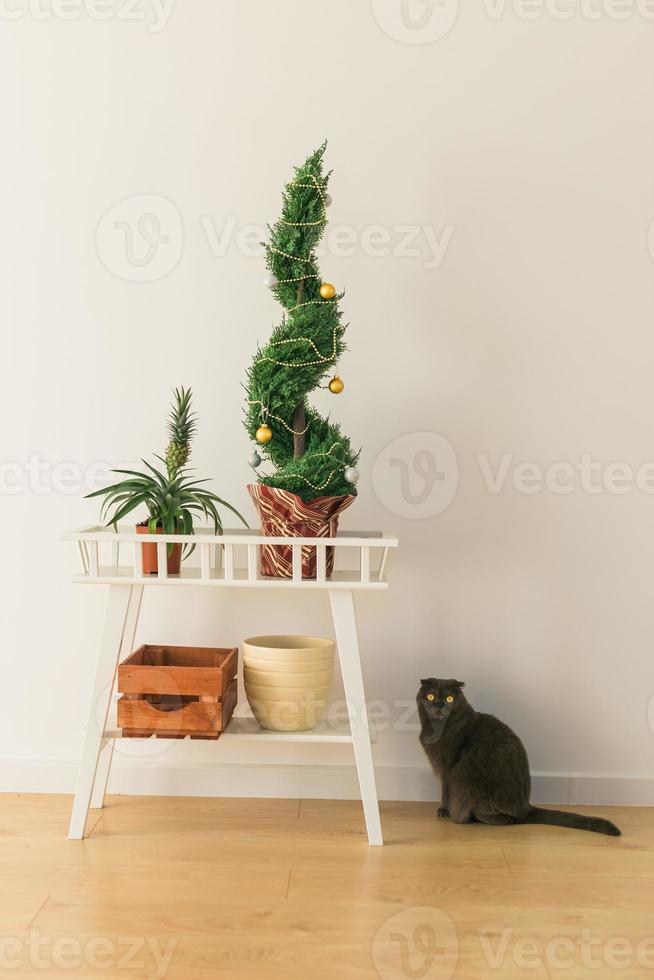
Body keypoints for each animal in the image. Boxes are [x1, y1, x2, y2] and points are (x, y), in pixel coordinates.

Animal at [420, 680, 620, 836]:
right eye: (430, 696)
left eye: (450, 699)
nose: (439, 704)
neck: (436, 730)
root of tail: (526, 806)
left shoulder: (447, 768)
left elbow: (445, 791)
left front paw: (444, 811)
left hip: (475, 789)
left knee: (508, 819)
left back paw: (474, 816)